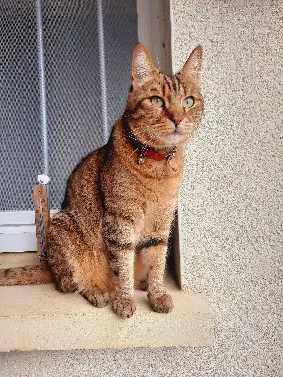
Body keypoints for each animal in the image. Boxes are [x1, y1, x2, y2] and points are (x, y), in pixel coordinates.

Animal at [0, 43, 204, 318]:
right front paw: (124, 300)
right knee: (68, 283)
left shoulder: (161, 224)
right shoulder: (120, 220)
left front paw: (157, 294)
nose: (178, 118)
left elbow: (157, 262)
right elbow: (123, 264)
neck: (159, 165)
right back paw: (98, 292)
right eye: (156, 101)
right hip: (62, 227)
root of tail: (49, 267)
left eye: (188, 101)